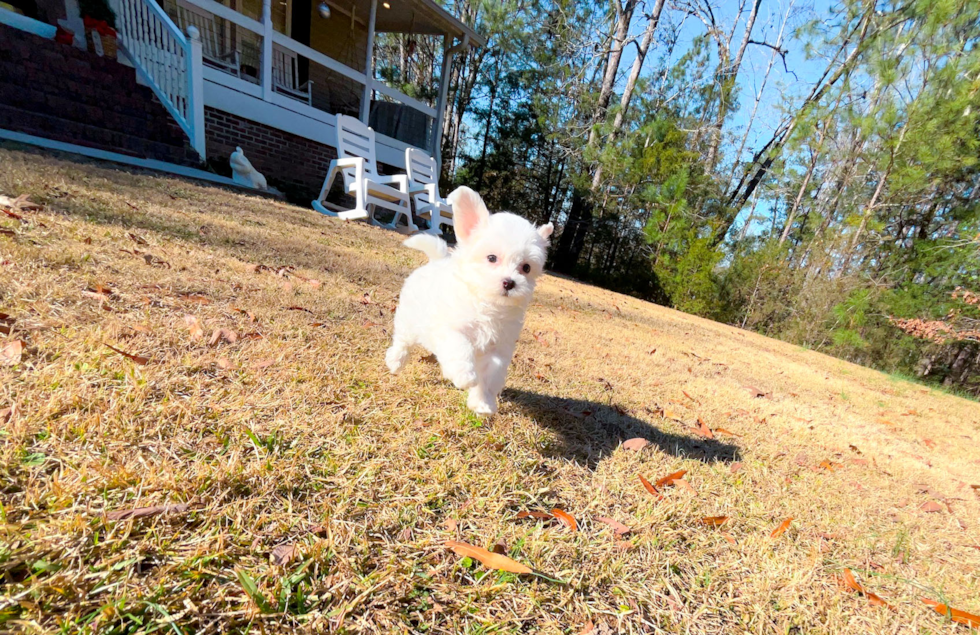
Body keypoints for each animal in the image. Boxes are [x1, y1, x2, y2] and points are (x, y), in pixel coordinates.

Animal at [382, 188, 552, 418]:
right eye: (492, 258)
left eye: (526, 267)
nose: (509, 282)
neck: (487, 304)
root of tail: (435, 261)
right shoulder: (450, 328)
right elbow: (460, 346)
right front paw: (465, 375)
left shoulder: (499, 348)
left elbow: (490, 374)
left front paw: (483, 402)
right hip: (409, 319)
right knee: (402, 341)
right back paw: (396, 361)